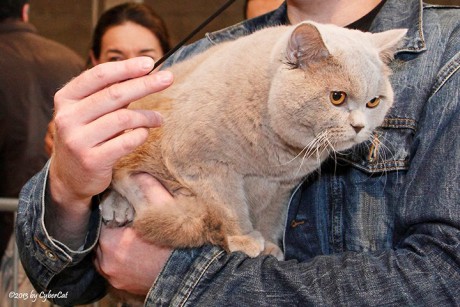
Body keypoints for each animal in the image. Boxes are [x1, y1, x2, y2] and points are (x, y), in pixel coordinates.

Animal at [100, 20, 406, 262]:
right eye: (337, 97)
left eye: (374, 102)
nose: (359, 126)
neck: (273, 155)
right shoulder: (202, 164)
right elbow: (229, 205)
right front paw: (243, 239)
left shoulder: (283, 188)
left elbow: (271, 217)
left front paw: (269, 245)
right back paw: (117, 205)